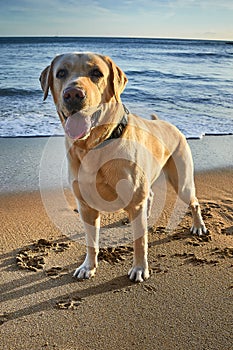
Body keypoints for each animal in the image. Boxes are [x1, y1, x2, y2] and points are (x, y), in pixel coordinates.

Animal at [39, 52, 206, 282]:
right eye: (61, 73)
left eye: (97, 73)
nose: (73, 94)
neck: (94, 146)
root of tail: (168, 124)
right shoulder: (85, 206)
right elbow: (91, 242)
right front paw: (88, 266)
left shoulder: (134, 202)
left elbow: (140, 242)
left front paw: (140, 268)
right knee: (150, 195)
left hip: (181, 180)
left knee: (193, 202)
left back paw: (198, 226)